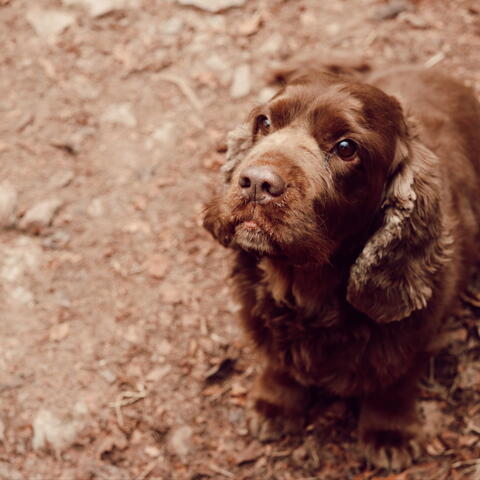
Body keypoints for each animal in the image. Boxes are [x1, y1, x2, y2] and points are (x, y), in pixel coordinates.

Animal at [202, 65, 480, 470]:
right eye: (264, 122)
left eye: (346, 148)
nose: (256, 182)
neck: (306, 292)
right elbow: (277, 362)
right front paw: (273, 405)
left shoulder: (416, 331)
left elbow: (395, 382)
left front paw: (389, 433)